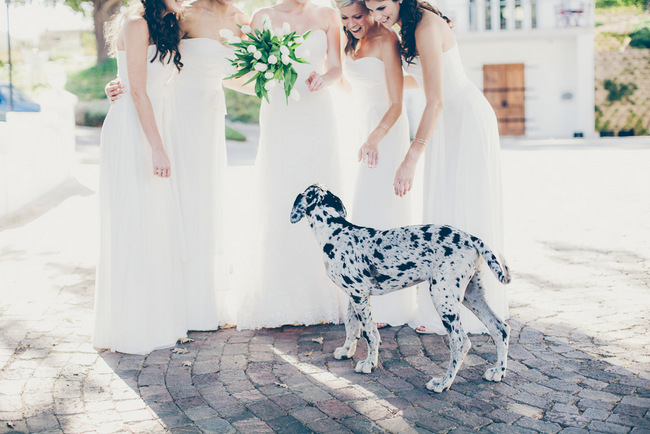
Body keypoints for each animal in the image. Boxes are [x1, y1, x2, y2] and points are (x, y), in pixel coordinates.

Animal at [290, 184, 512, 394]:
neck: (335, 232)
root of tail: (470, 237)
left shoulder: (360, 295)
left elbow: (370, 333)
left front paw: (369, 363)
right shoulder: (354, 295)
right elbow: (352, 326)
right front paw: (346, 351)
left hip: (443, 297)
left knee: (461, 342)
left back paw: (443, 383)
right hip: (472, 295)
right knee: (500, 328)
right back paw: (497, 372)